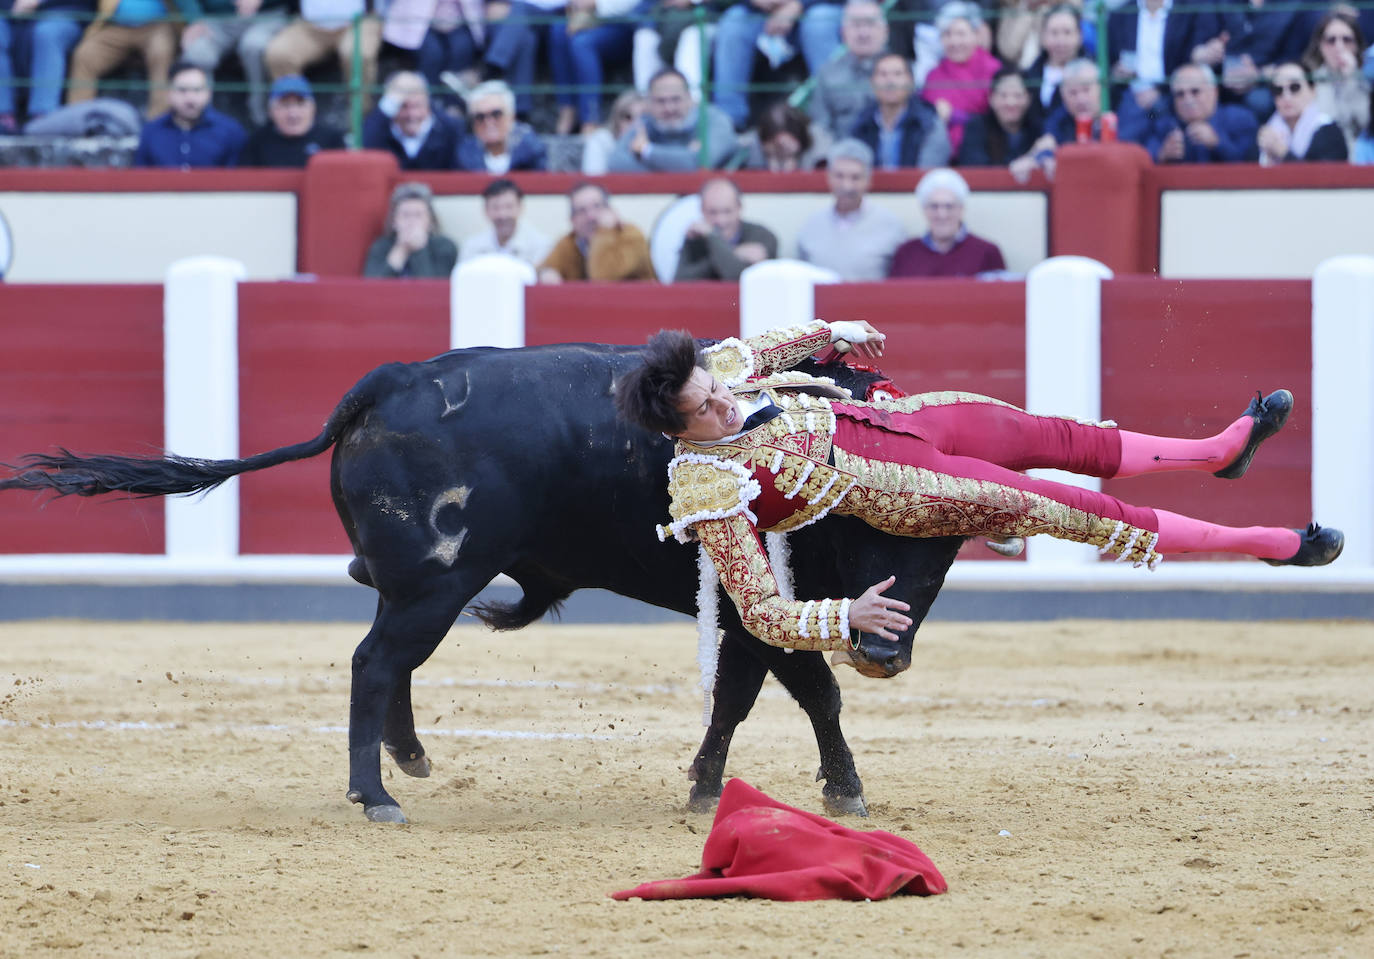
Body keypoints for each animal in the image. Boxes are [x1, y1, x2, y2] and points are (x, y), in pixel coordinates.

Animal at [2, 343, 967, 824]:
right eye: (873, 525)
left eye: (948, 551)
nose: (886, 651)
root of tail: (387, 383)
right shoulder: (756, 597)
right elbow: (808, 689)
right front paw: (844, 789)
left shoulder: (739, 608)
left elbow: (741, 693)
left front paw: (705, 786)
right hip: (438, 581)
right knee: (374, 661)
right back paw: (377, 795)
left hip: (421, 581)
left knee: (388, 657)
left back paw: (407, 757)